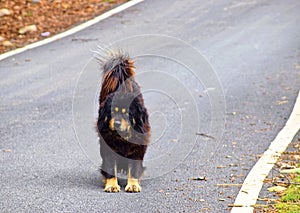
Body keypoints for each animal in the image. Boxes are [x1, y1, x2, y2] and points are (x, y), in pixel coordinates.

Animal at [97, 50, 150, 193]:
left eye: (127, 113)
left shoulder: (136, 150)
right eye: (113, 112)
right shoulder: (108, 149)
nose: (117, 123)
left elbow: (134, 169)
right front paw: (111, 185)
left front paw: (133, 185)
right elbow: (110, 168)